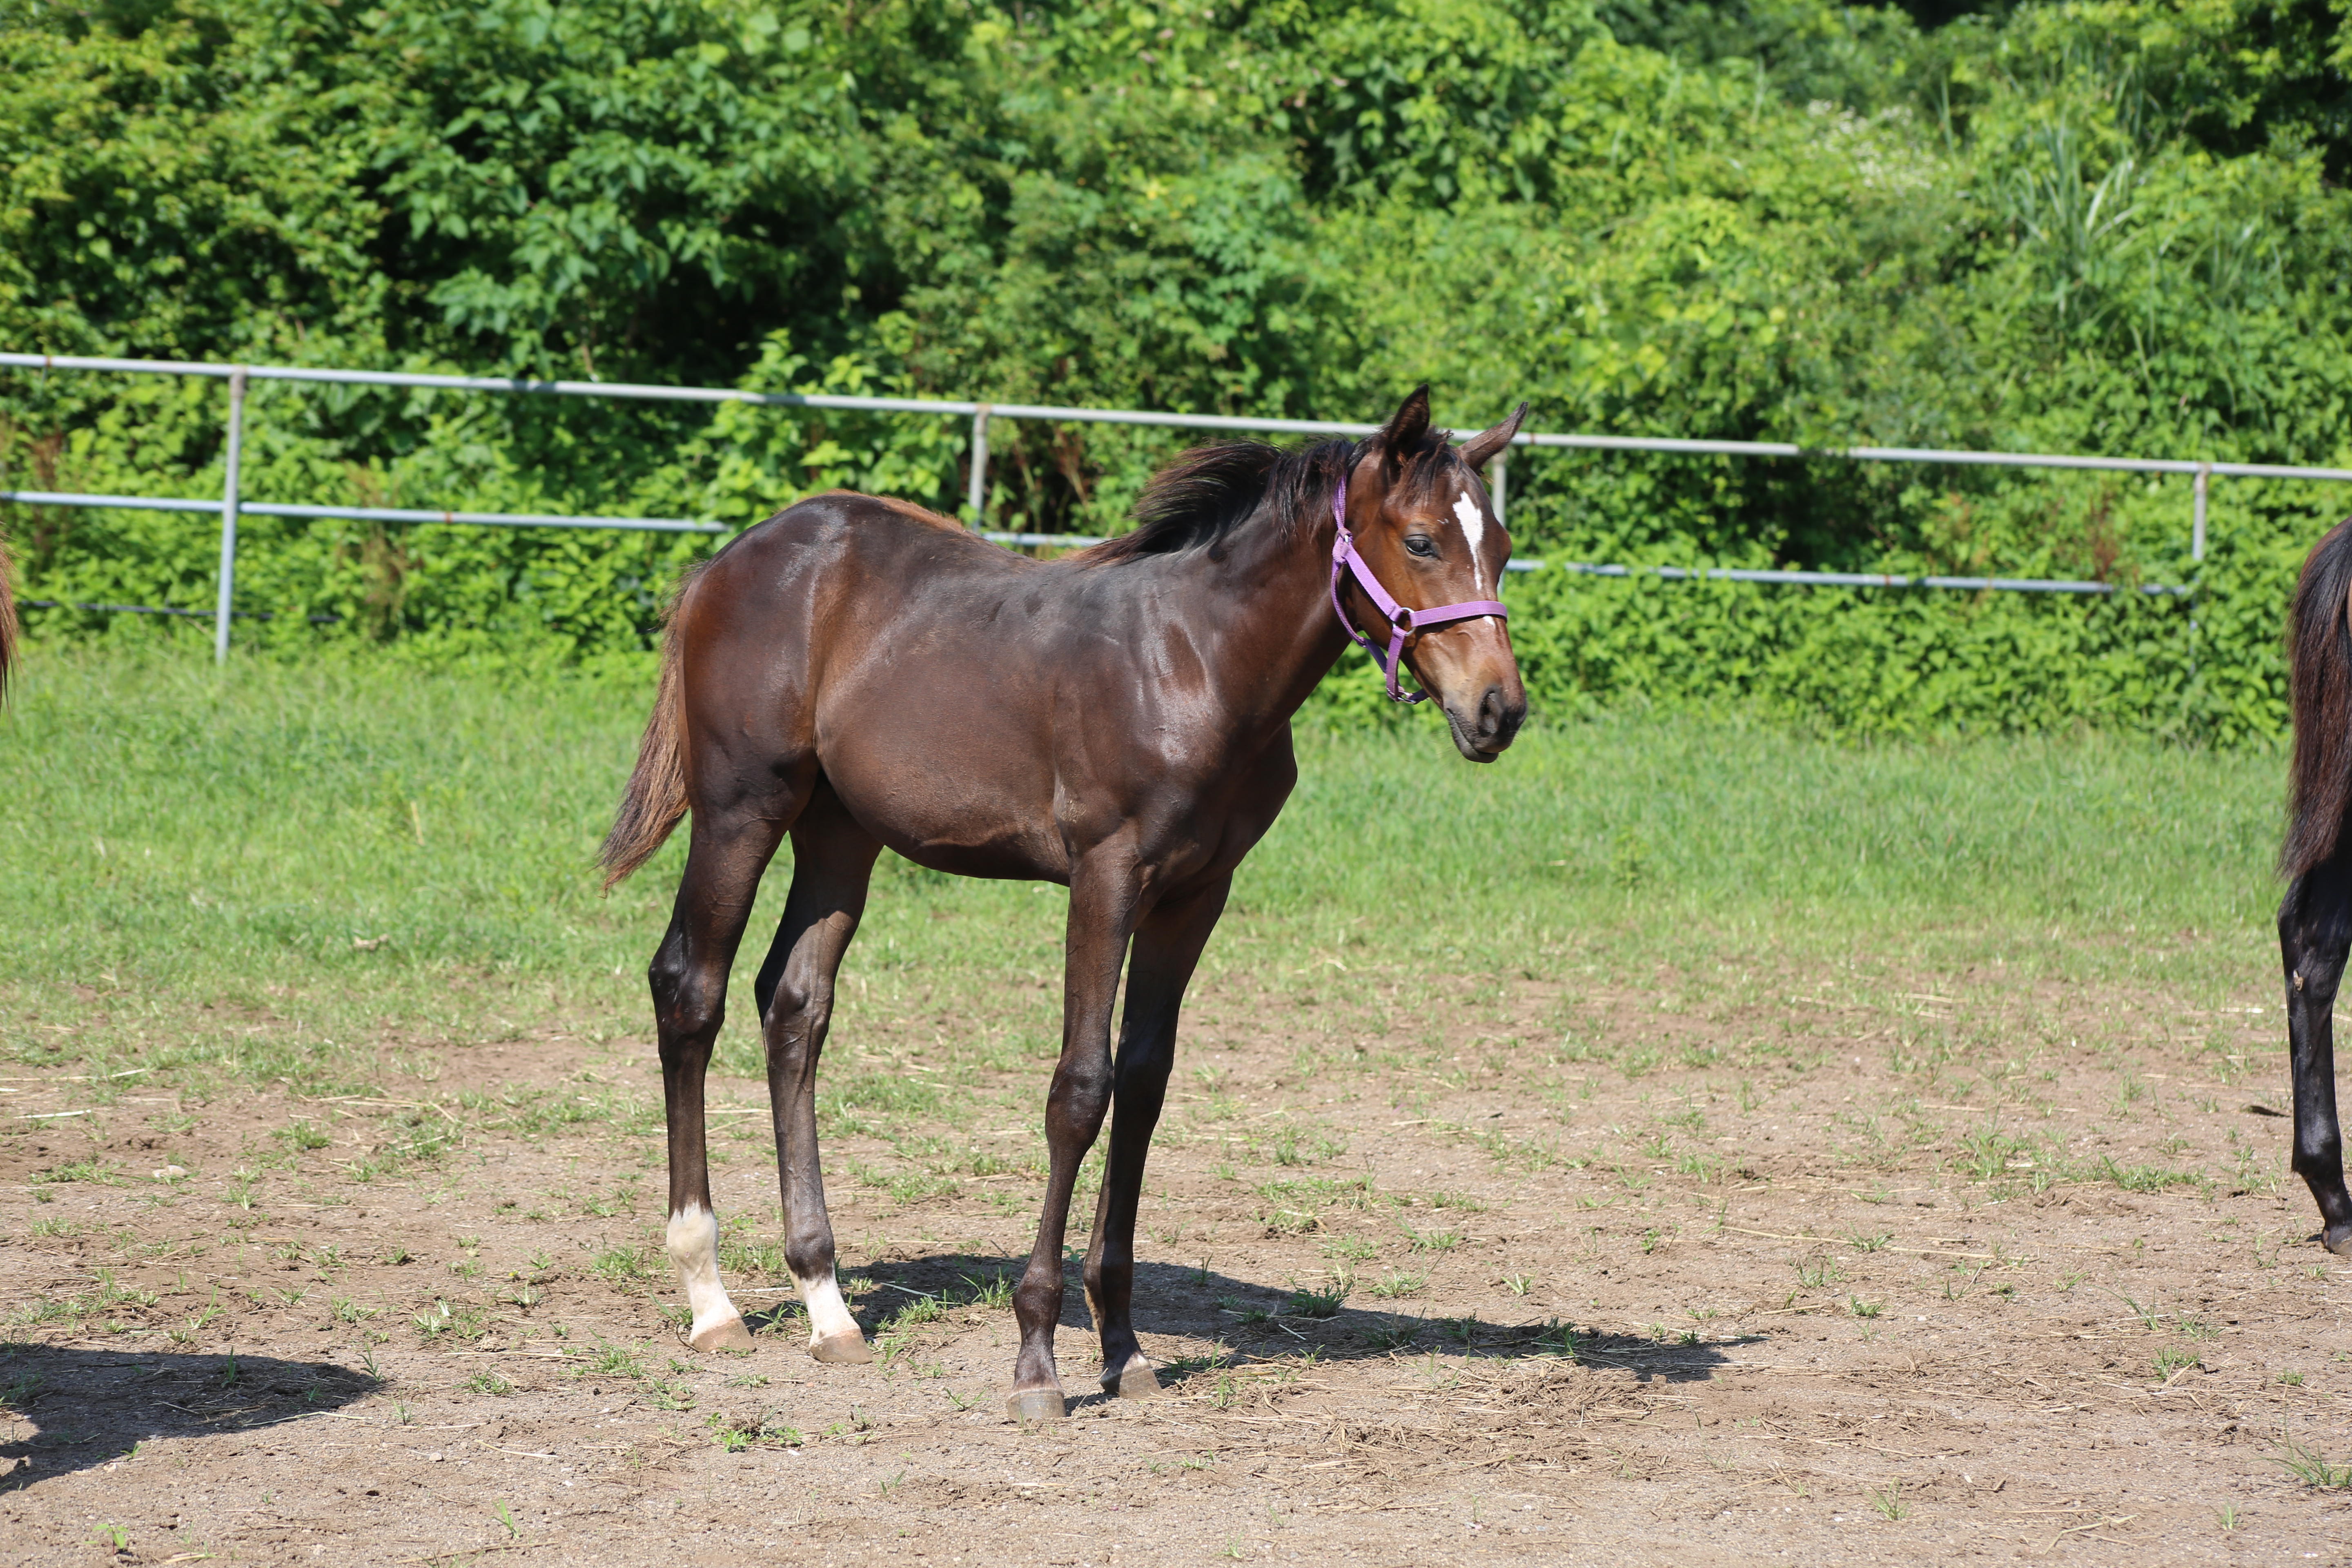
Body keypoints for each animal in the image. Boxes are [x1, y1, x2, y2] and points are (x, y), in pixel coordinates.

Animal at [597, 385, 1533, 1420]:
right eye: (1419, 540)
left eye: (1497, 544)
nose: (1499, 710)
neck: (1195, 661)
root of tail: (727, 563)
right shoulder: (1104, 875)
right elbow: (1080, 1090)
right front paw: (1037, 1358)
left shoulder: (1194, 894)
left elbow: (1144, 1086)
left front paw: (1122, 1345)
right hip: (742, 807)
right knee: (691, 987)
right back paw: (710, 1295)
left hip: (840, 831)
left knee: (795, 1005)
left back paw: (826, 1303)